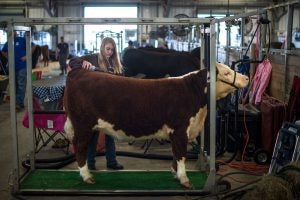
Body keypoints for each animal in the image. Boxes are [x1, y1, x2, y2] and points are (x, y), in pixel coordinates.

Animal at [62, 62, 248, 188]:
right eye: (226, 72)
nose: (246, 78)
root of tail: (79, 72)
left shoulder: (176, 133)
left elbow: (175, 154)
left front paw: (175, 174)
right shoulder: (180, 129)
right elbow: (181, 155)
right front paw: (184, 179)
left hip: (90, 127)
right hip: (83, 125)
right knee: (80, 148)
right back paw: (86, 176)